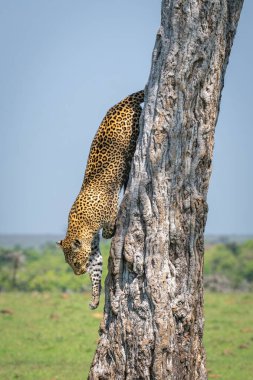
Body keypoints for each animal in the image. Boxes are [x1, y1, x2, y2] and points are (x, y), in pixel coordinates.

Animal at [57, 90, 144, 308]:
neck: (80, 226)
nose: (78, 273)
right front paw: (95, 297)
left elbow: (108, 231)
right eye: (70, 264)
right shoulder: (93, 248)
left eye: (75, 262)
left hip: (133, 134)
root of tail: (120, 103)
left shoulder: (108, 214)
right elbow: (95, 268)